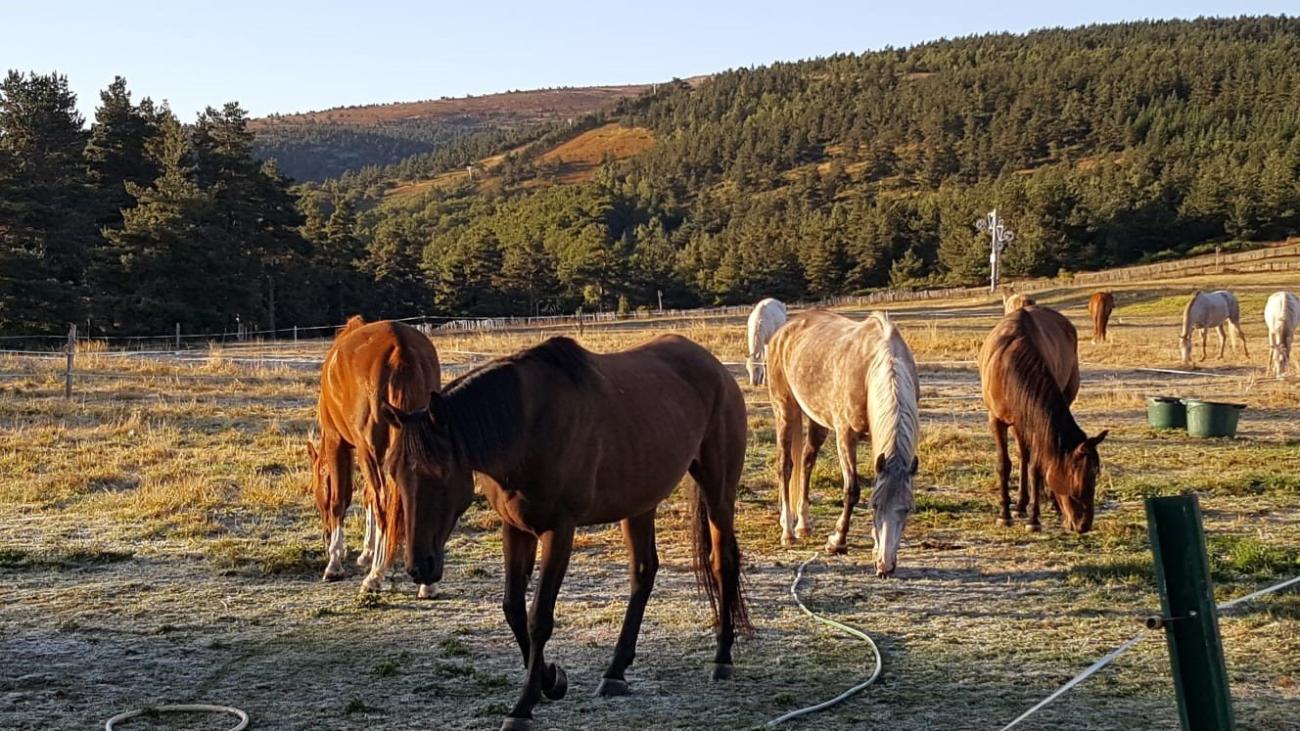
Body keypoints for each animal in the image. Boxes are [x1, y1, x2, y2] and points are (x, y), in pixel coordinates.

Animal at [305, 316, 441, 595]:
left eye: (316, 492)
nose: (324, 537)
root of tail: (400, 348)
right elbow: (365, 496)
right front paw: (367, 553)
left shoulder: (338, 442)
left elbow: (341, 499)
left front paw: (335, 561)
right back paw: (426, 583)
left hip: (371, 451)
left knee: (382, 502)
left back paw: (375, 576)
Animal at [392, 335, 754, 728]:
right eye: (394, 474)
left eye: (439, 473)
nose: (419, 566)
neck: (526, 428)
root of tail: (715, 366)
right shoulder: (515, 529)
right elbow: (513, 608)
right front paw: (550, 680)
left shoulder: (559, 531)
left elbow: (539, 619)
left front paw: (523, 706)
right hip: (639, 502)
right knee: (644, 573)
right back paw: (615, 672)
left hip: (718, 490)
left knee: (722, 563)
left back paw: (722, 658)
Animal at [977, 304, 1107, 533]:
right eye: (1081, 479)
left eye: (1094, 477)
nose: (1084, 524)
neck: (1008, 365)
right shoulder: (996, 420)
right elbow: (1004, 464)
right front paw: (1004, 514)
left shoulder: (1036, 424)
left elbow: (1036, 468)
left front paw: (1034, 519)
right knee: (1023, 455)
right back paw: (1020, 505)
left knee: (1026, 456)